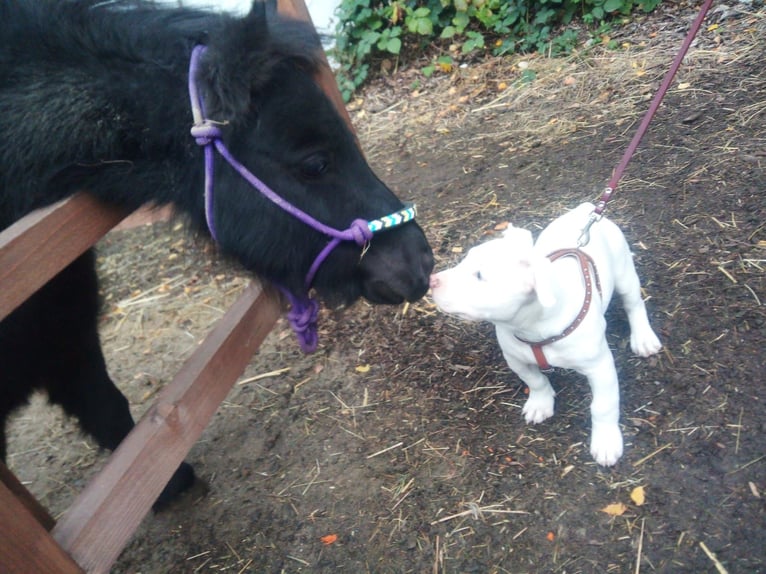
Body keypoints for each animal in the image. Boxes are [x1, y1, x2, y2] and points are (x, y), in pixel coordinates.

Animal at [428, 204, 664, 468]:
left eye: (479, 276)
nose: (432, 280)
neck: (531, 326)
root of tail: (587, 208)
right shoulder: (516, 360)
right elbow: (535, 380)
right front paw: (540, 404)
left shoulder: (600, 367)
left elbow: (603, 406)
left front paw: (605, 442)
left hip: (624, 274)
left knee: (634, 304)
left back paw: (643, 337)